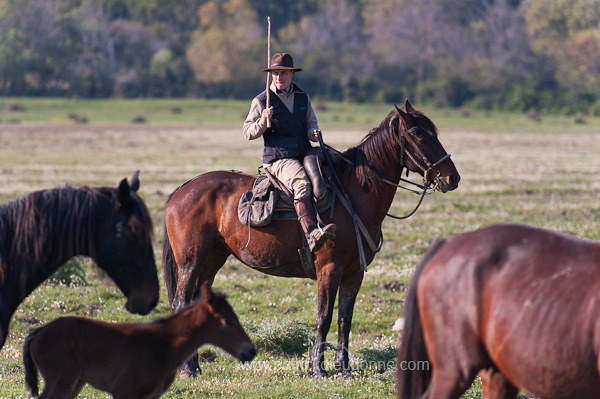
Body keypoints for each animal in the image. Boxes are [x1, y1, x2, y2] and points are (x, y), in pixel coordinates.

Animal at [21, 282, 253, 399]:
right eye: (229, 322)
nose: (250, 351)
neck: (164, 345)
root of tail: (36, 333)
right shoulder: (124, 391)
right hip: (62, 380)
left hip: (74, 382)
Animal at [163, 100, 460, 378]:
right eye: (419, 135)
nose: (452, 178)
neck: (352, 194)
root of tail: (180, 190)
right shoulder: (329, 269)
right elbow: (324, 316)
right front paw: (318, 368)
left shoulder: (354, 273)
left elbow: (344, 319)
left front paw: (344, 368)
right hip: (191, 261)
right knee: (180, 303)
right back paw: (187, 369)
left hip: (212, 259)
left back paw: (195, 366)